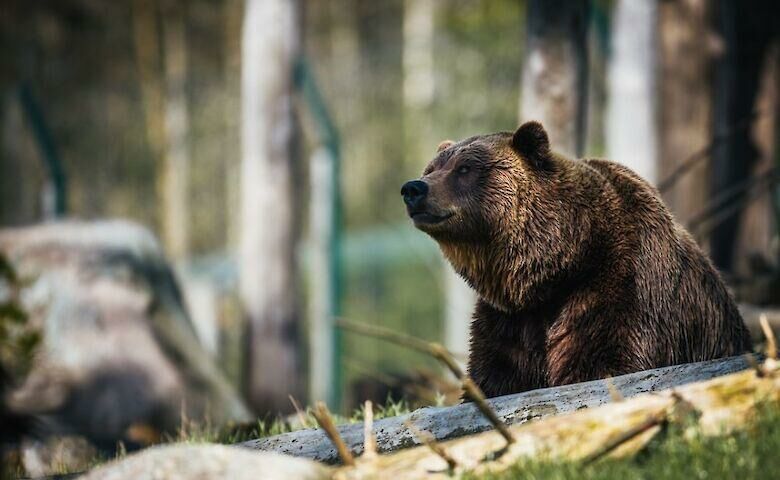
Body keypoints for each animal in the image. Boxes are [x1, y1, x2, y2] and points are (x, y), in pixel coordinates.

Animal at [400, 121, 752, 398]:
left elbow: (604, 361)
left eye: (465, 168)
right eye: (431, 169)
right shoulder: (509, 320)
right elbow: (495, 376)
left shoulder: (619, 287)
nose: (413, 188)